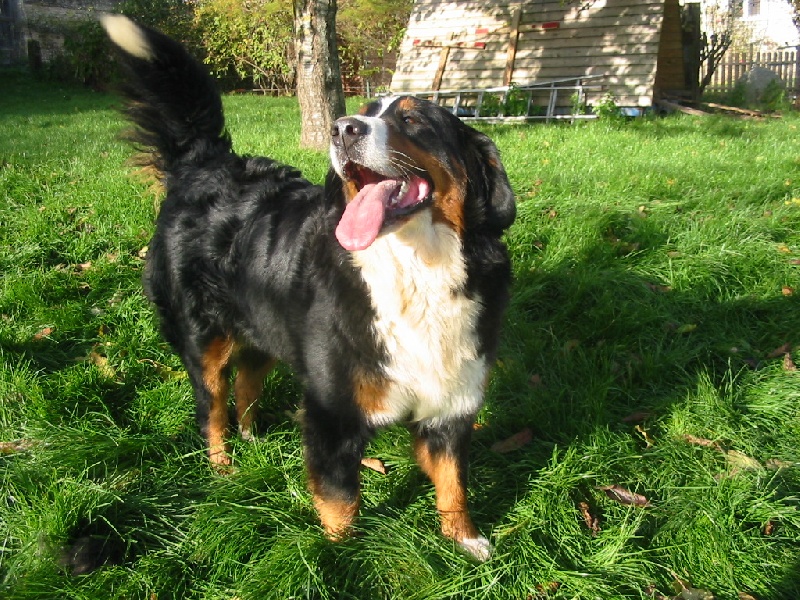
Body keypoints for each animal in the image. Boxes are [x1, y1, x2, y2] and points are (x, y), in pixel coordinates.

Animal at [100, 15, 516, 564]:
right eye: (365, 114)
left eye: (412, 122)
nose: (343, 128)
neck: (414, 269)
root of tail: (207, 162)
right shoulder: (332, 413)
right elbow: (341, 499)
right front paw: (339, 559)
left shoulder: (451, 401)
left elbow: (453, 484)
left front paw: (464, 541)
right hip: (204, 339)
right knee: (211, 407)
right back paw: (223, 466)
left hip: (266, 325)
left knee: (247, 380)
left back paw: (252, 438)